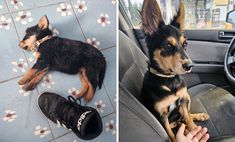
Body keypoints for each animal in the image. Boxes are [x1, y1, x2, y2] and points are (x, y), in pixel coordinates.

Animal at [140, 0, 209, 141]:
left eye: (185, 44)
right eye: (168, 45)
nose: (190, 66)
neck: (168, 79)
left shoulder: (182, 100)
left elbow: (188, 119)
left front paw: (194, 128)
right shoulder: (161, 115)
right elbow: (171, 134)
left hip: (187, 97)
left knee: (186, 116)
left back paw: (199, 115)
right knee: (178, 122)